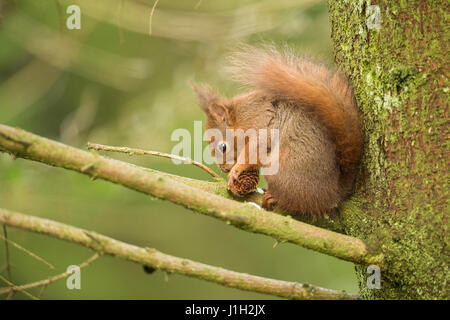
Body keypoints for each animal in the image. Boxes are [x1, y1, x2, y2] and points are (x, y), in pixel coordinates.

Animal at [193, 45, 362, 218]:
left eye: (223, 147)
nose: (224, 169)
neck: (241, 117)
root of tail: (334, 193)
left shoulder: (260, 124)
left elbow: (252, 151)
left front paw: (235, 171)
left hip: (279, 170)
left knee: (299, 204)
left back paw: (275, 198)